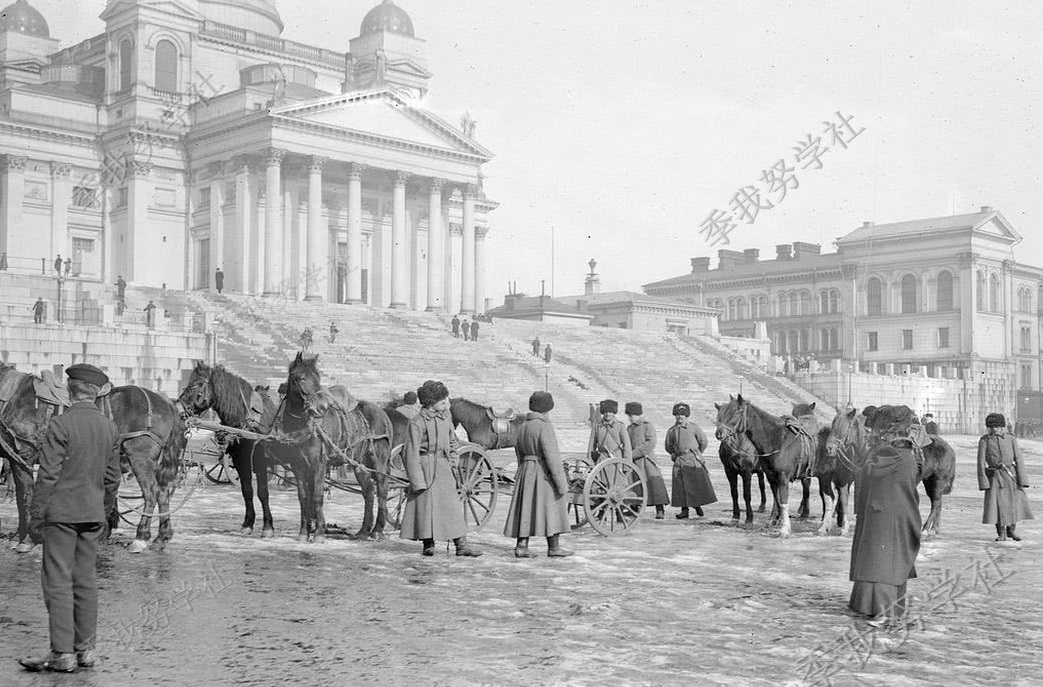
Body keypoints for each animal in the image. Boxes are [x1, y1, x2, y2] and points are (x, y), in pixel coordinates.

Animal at [177, 360, 279, 537]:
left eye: (197, 384)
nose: (180, 410)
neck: (247, 420)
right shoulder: (240, 462)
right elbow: (247, 491)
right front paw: (247, 524)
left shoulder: (260, 463)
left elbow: (262, 493)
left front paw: (268, 527)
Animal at [269, 354, 394, 542]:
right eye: (301, 378)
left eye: (318, 379)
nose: (319, 406)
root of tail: (383, 413)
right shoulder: (298, 466)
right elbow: (303, 497)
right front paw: (304, 531)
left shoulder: (319, 464)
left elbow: (317, 496)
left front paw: (319, 532)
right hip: (359, 464)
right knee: (369, 491)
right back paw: (363, 531)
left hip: (378, 461)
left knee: (382, 489)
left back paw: (377, 529)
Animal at [717, 391, 813, 537]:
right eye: (720, 414)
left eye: (736, 412)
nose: (719, 433)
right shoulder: (730, 471)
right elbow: (735, 493)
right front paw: (735, 517)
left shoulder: (747, 472)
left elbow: (747, 495)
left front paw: (749, 519)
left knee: (806, 489)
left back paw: (804, 513)